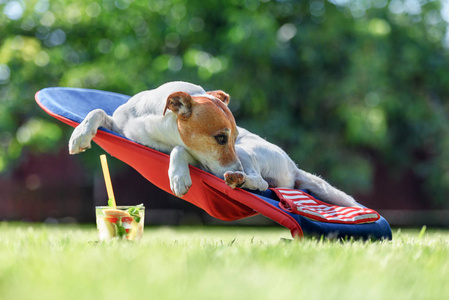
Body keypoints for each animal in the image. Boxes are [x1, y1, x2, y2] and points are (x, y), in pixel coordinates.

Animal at [69, 81, 356, 207]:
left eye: (233, 136)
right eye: (220, 137)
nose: (235, 169)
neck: (157, 129)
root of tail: (294, 167)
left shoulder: (202, 158)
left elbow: (179, 149)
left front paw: (179, 177)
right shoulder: (123, 127)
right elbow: (96, 111)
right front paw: (80, 135)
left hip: (248, 152)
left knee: (262, 183)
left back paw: (239, 179)